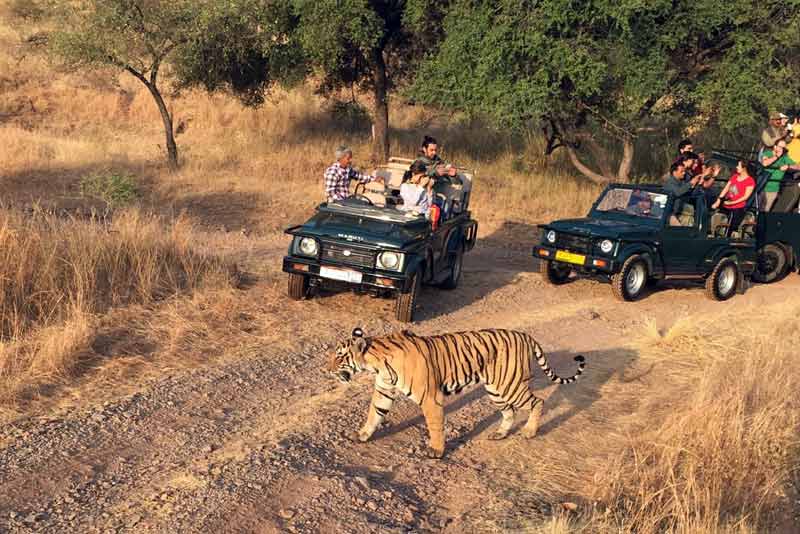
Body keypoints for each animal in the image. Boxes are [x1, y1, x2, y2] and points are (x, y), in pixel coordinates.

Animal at [328, 326, 584, 460]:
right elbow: (374, 414)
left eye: (339, 356)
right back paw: (500, 434)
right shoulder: (384, 391)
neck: (377, 363)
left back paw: (530, 432)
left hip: (510, 387)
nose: (327, 369)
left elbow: (435, 426)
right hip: (496, 390)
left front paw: (436, 450)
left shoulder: (430, 398)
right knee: (509, 412)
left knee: (537, 402)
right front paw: (362, 435)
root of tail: (525, 335)